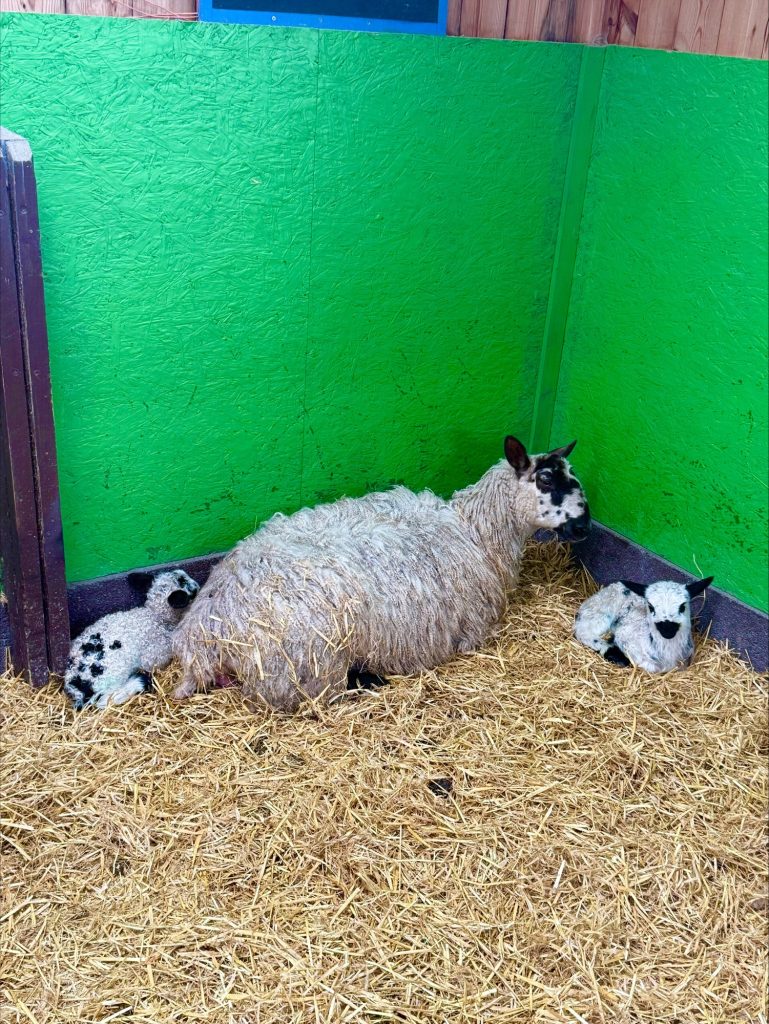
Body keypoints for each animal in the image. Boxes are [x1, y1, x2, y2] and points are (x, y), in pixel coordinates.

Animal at [63, 569, 199, 709]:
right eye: (186, 584)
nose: (197, 585)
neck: (156, 617)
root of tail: (76, 686)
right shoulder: (154, 657)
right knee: (104, 700)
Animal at [172, 434, 591, 712]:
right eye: (546, 479)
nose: (585, 525)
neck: (476, 530)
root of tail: (206, 636)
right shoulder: (470, 631)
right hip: (304, 668)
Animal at [574, 576, 714, 672]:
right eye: (651, 607)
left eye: (682, 606)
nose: (667, 630)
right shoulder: (625, 637)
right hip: (600, 610)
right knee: (583, 630)